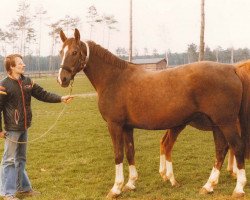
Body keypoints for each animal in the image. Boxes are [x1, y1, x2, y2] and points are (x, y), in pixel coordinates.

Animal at [58, 28, 248, 198]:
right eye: (61, 52)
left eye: (74, 52)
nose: (62, 79)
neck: (114, 79)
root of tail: (232, 69)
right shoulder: (127, 127)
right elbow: (130, 152)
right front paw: (131, 183)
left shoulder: (115, 125)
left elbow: (118, 154)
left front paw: (116, 188)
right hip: (217, 124)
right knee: (221, 149)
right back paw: (208, 186)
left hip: (226, 123)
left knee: (237, 147)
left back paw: (238, 188)